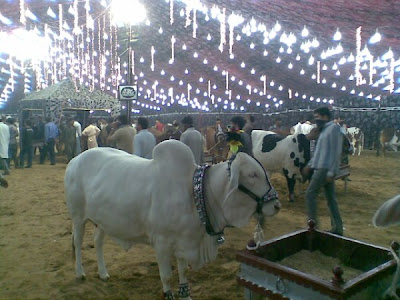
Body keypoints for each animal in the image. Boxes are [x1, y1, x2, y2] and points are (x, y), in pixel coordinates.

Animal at [65, 139, 278, 298]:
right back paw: (79, 273)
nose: (276, 205)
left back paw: (103, 273)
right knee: (78, 242)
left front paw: (186, 294)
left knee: (98, 241)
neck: (194, 193)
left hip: (102, 220)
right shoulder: (161, 243)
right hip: (78, 216)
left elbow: (183, 272)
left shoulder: (184, 242)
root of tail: (75, 160)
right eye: (252, 175)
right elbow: (166, 277)